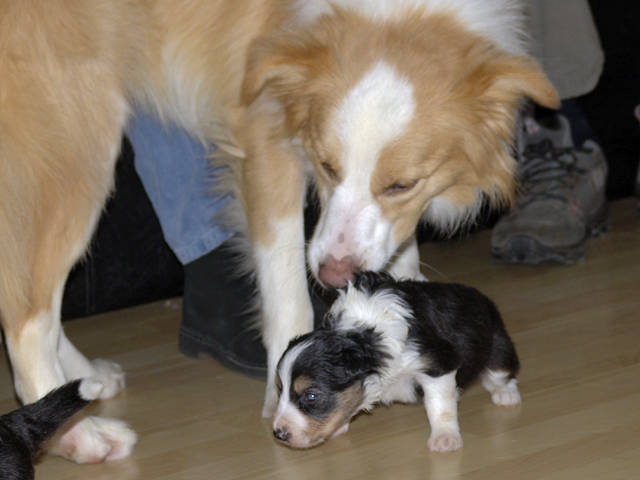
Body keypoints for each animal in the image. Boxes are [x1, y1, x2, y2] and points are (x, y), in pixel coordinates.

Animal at [273, 271, 520, 451]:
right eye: (280, 390)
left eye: (311, 396)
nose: (278, 434)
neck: (365, 334)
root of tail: (483, 297)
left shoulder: (436, 365)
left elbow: (439, 406)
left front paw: (445, 438)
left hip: (497, 346)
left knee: (502, 373)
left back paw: (506, 395)